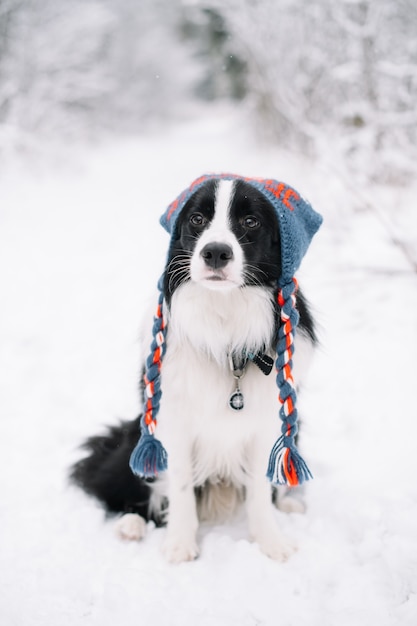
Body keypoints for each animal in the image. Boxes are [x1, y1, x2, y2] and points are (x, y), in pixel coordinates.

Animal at [70, 174, 322, 560]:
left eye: (251, 221)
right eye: (197, 219)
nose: (215, 252)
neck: (225, 319)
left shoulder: (266, 422)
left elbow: (260, 490)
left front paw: (271, 542)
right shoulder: (173, 419)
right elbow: (181, 486)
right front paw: (179, 545)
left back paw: (289, 504)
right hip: (138, 436)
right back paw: (131, 525)